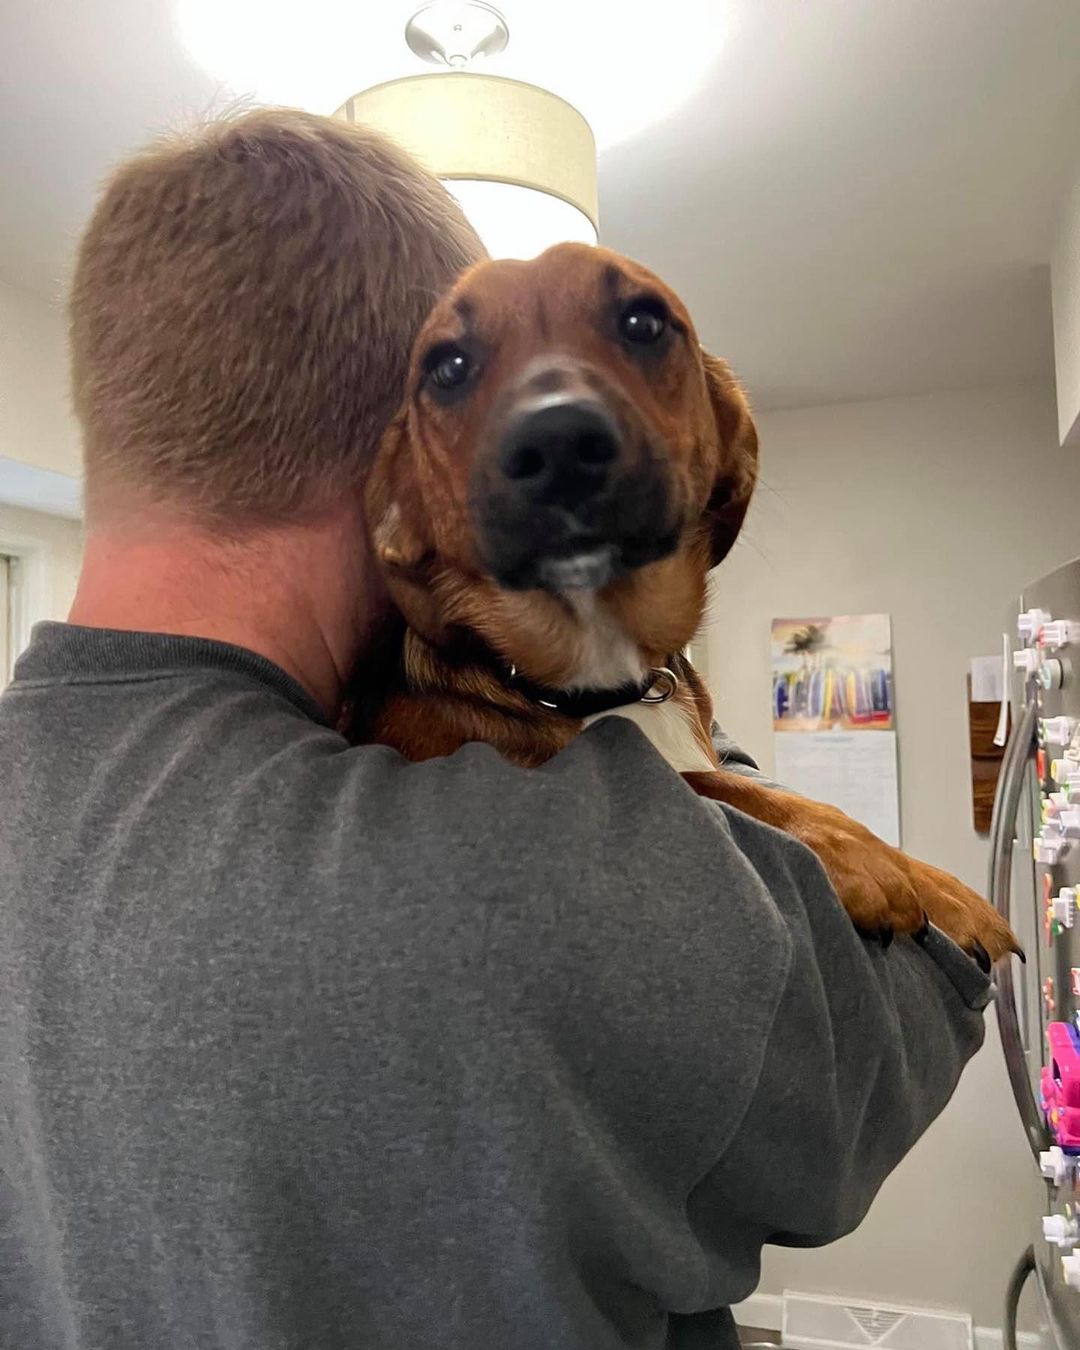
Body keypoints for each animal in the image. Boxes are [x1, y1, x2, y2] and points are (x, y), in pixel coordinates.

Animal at [356, 243, 1020, 961]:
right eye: (447, 366)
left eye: (643, 322)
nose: (557, 443)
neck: (607, 675)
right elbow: (708, 781)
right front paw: (854, 847)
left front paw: (946, 889)